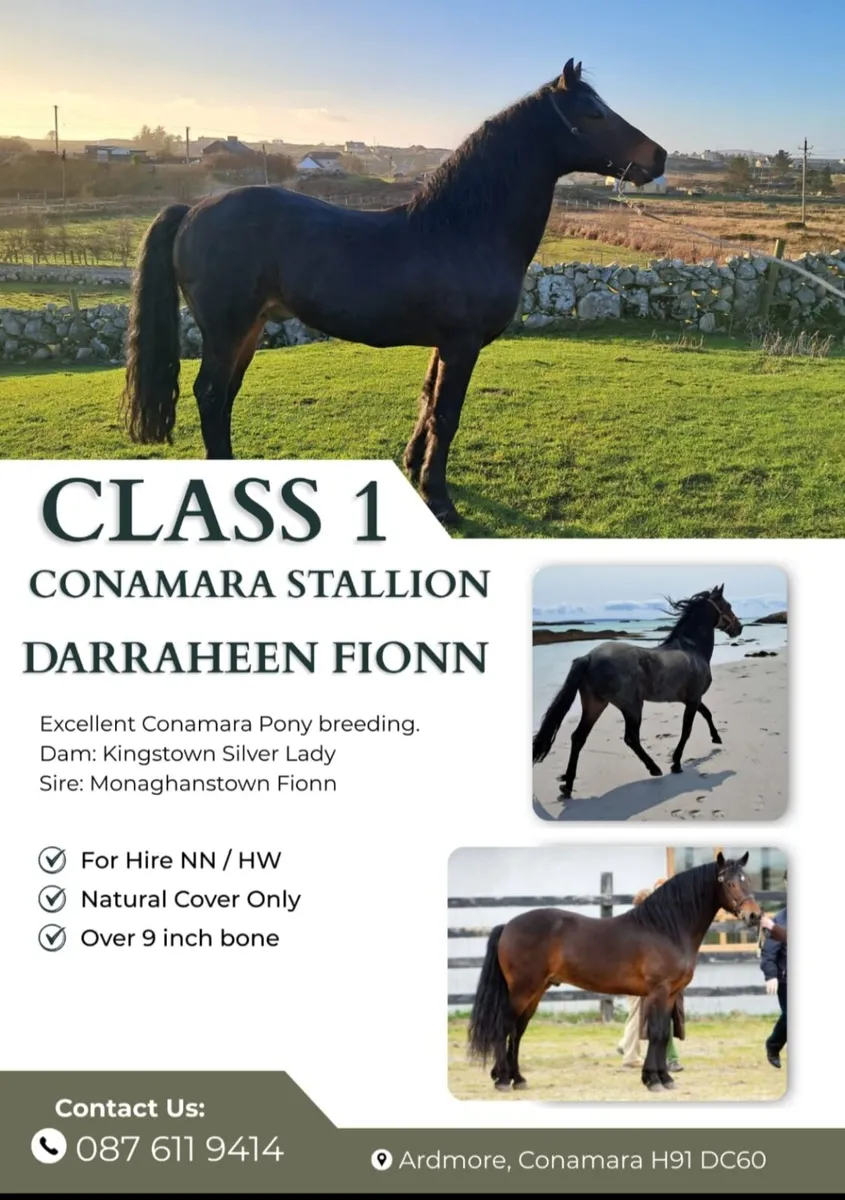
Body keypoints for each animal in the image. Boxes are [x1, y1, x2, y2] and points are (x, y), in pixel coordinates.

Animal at [121, 59, 665, 526]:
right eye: (594, 113)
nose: (657, 157)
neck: (463, 229)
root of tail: (193, 209)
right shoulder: (463, 345)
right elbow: (447, 414)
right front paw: (440, 500)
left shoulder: (444, 344)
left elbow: (427, 401)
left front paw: (413, 467)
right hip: (227, 330)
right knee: (211, 395)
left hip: (248, 331)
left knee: (223, 397)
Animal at [468, 853, 761, 1093]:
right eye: (729, 883)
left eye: (747, 880)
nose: (754, 916)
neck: (665, 928)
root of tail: (508, 925)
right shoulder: (659, 991)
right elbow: (656, 1032)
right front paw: (654, 1081)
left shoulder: (669, 995)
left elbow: (663, 1034)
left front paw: (663, 1078)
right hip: (522, 990)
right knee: (504, 1027)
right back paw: (503, 1080)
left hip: (536, 991)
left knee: (517, 1031)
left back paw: (517, 1079)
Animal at [532, 585, 743, 799]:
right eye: (728, 605)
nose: (739, 628)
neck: (692, 650)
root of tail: (589, 657)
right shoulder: (693, 699)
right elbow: (687, 730)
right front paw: (676, 763)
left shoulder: (692, 699)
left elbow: (707, 713)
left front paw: (716, 738)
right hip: (632, 706)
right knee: (631, 738)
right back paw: (655, 769)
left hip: (595, 705)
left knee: (578, 737)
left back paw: (567, 785)